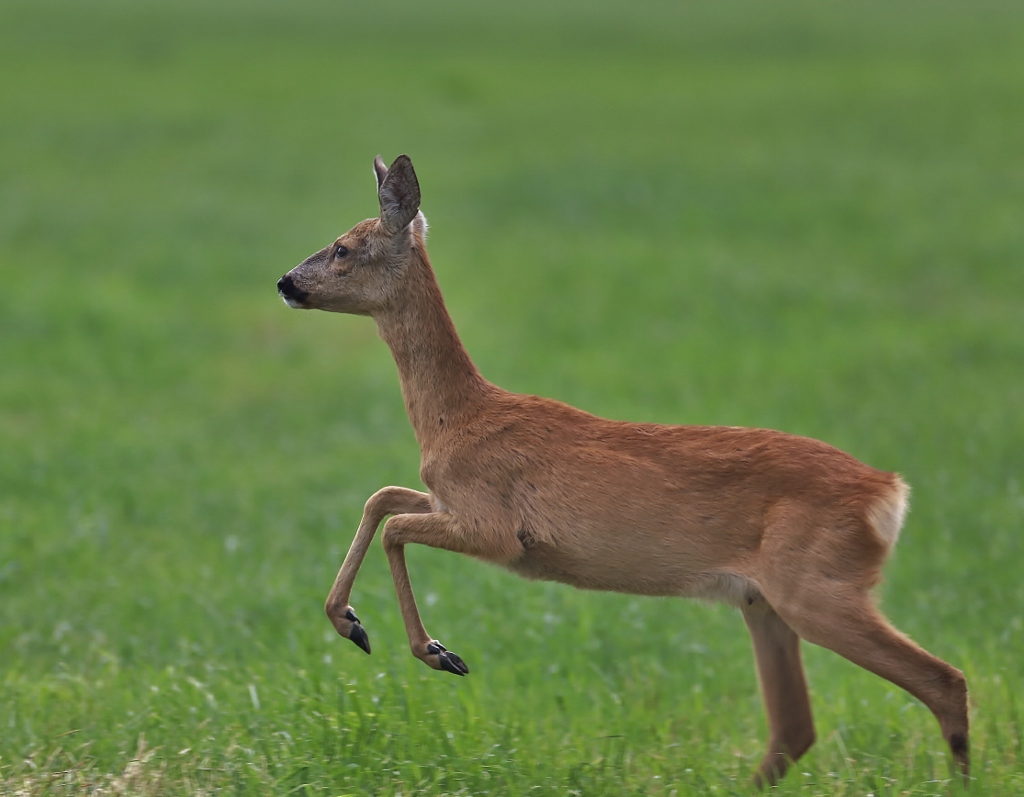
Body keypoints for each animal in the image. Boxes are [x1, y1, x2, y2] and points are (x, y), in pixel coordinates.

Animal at [278, 153, 966, 782]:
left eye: (342, 248)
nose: (285, 281)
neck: (457, 419)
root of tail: (889, 492)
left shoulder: (497, 529)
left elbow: (394, 522)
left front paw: (434, 651)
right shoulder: (451, 503)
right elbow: (382, 497)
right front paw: (349, 623)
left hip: (818, 587)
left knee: (944, 681)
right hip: (766, 603)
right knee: (795, 727)